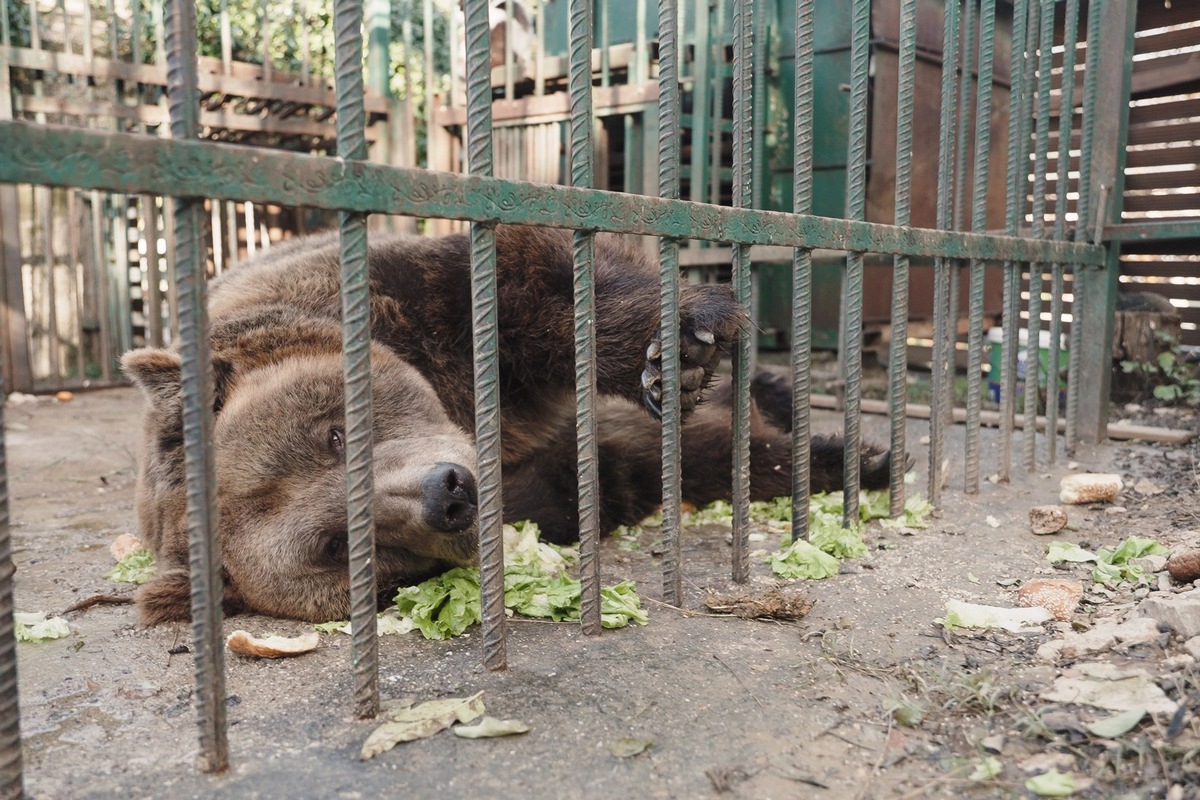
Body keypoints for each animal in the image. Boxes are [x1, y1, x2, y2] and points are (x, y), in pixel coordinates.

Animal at [124, 225, 892, 623]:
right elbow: (625, 467)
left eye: (334, 434)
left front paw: (681, 346)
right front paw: (837, 458)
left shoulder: (409, 303)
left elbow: (536, 283)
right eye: (339, 546)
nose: (448, 494)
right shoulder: (545, 476)